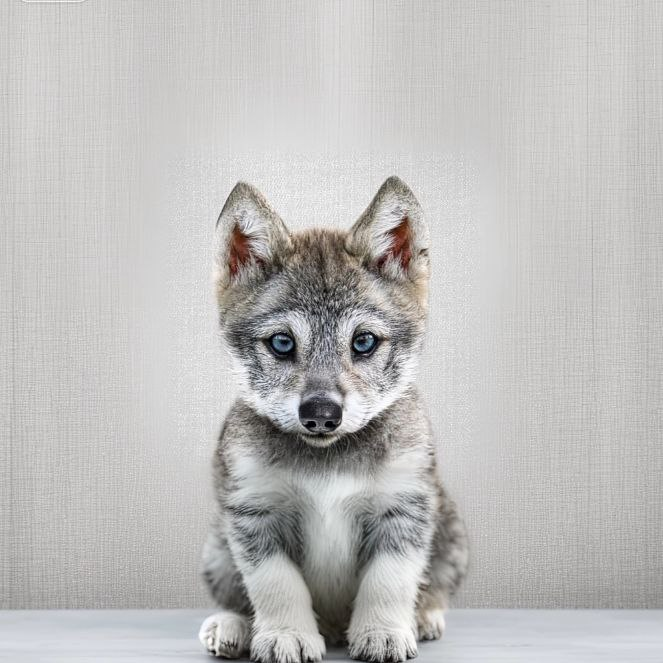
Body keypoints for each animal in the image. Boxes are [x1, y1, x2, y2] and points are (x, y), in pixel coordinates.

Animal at [198, 177, 468, 663]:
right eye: (282, 342)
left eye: (363, 341)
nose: (321, 415)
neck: (328, 459)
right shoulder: (253, 512)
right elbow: (276, 584)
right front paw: (285, 633)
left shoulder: (405, 507)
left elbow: (389, 580)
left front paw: (383, 631)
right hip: (215, 545)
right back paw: (232, 626)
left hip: (451, 530)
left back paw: (422, 617)